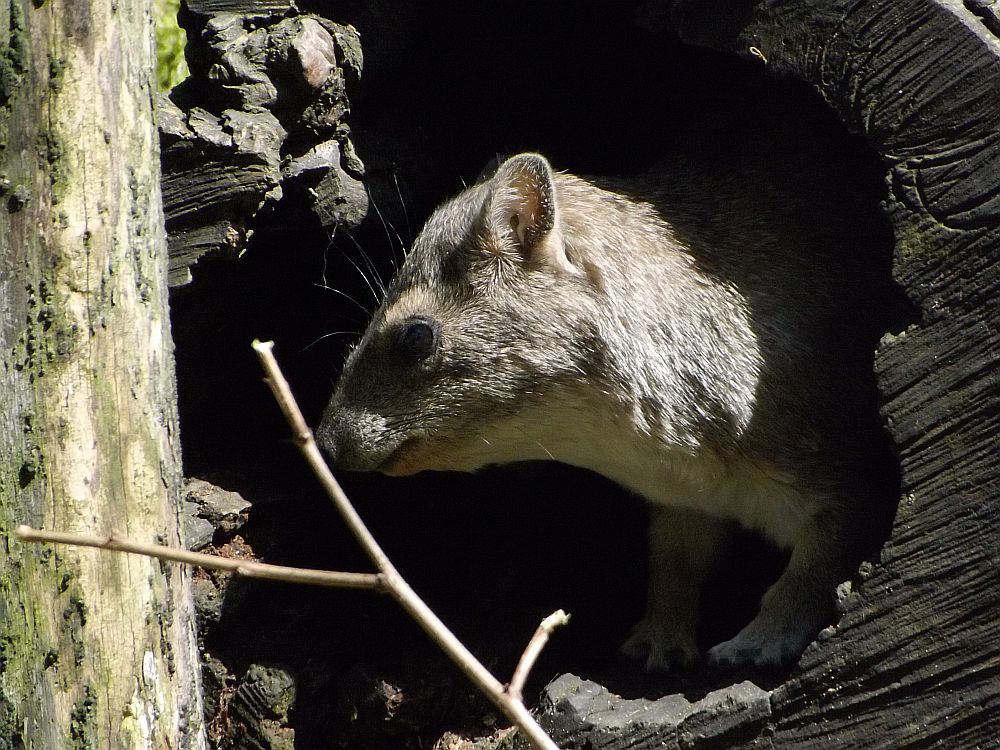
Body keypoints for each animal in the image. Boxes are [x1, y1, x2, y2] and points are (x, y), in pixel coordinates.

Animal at [316, 151, 894, 670]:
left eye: (417, 336)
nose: (325, 441)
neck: (663, 456)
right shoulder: (684, 505)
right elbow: (671, 563)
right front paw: (658, 642)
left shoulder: (847, 468)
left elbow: (813, 569)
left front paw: (755, 645)